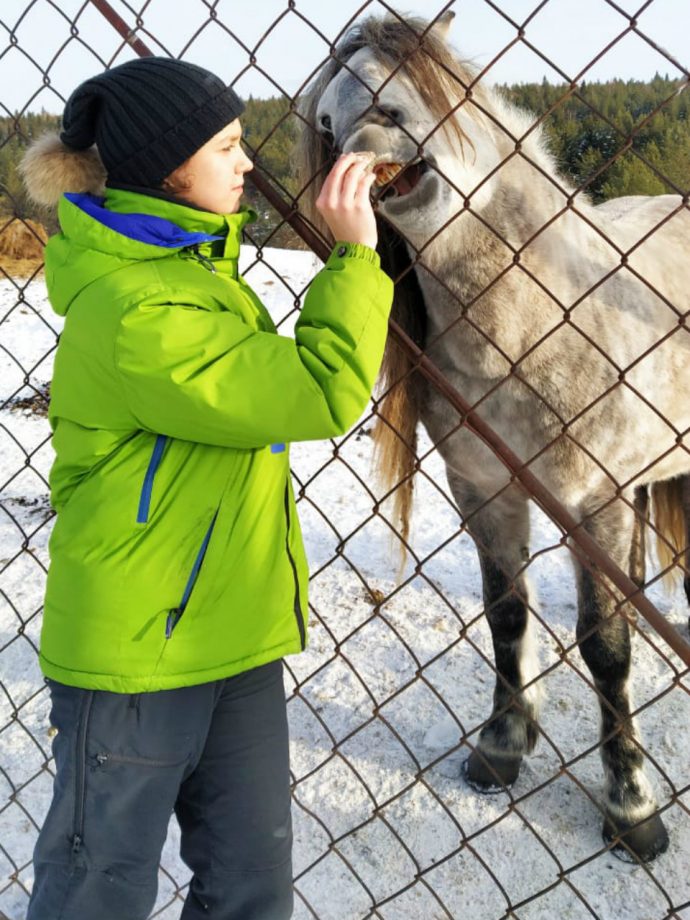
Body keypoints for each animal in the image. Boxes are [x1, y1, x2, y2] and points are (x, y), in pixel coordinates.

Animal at [296, 9, 688, 864]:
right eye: (327, 121)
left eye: (401, 98)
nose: (348, 160)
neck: (533, 327)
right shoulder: (484, 488)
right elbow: (505, 613)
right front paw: (504, 746)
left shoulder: (593, 500)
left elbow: (606, 648)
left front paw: (633, 809)